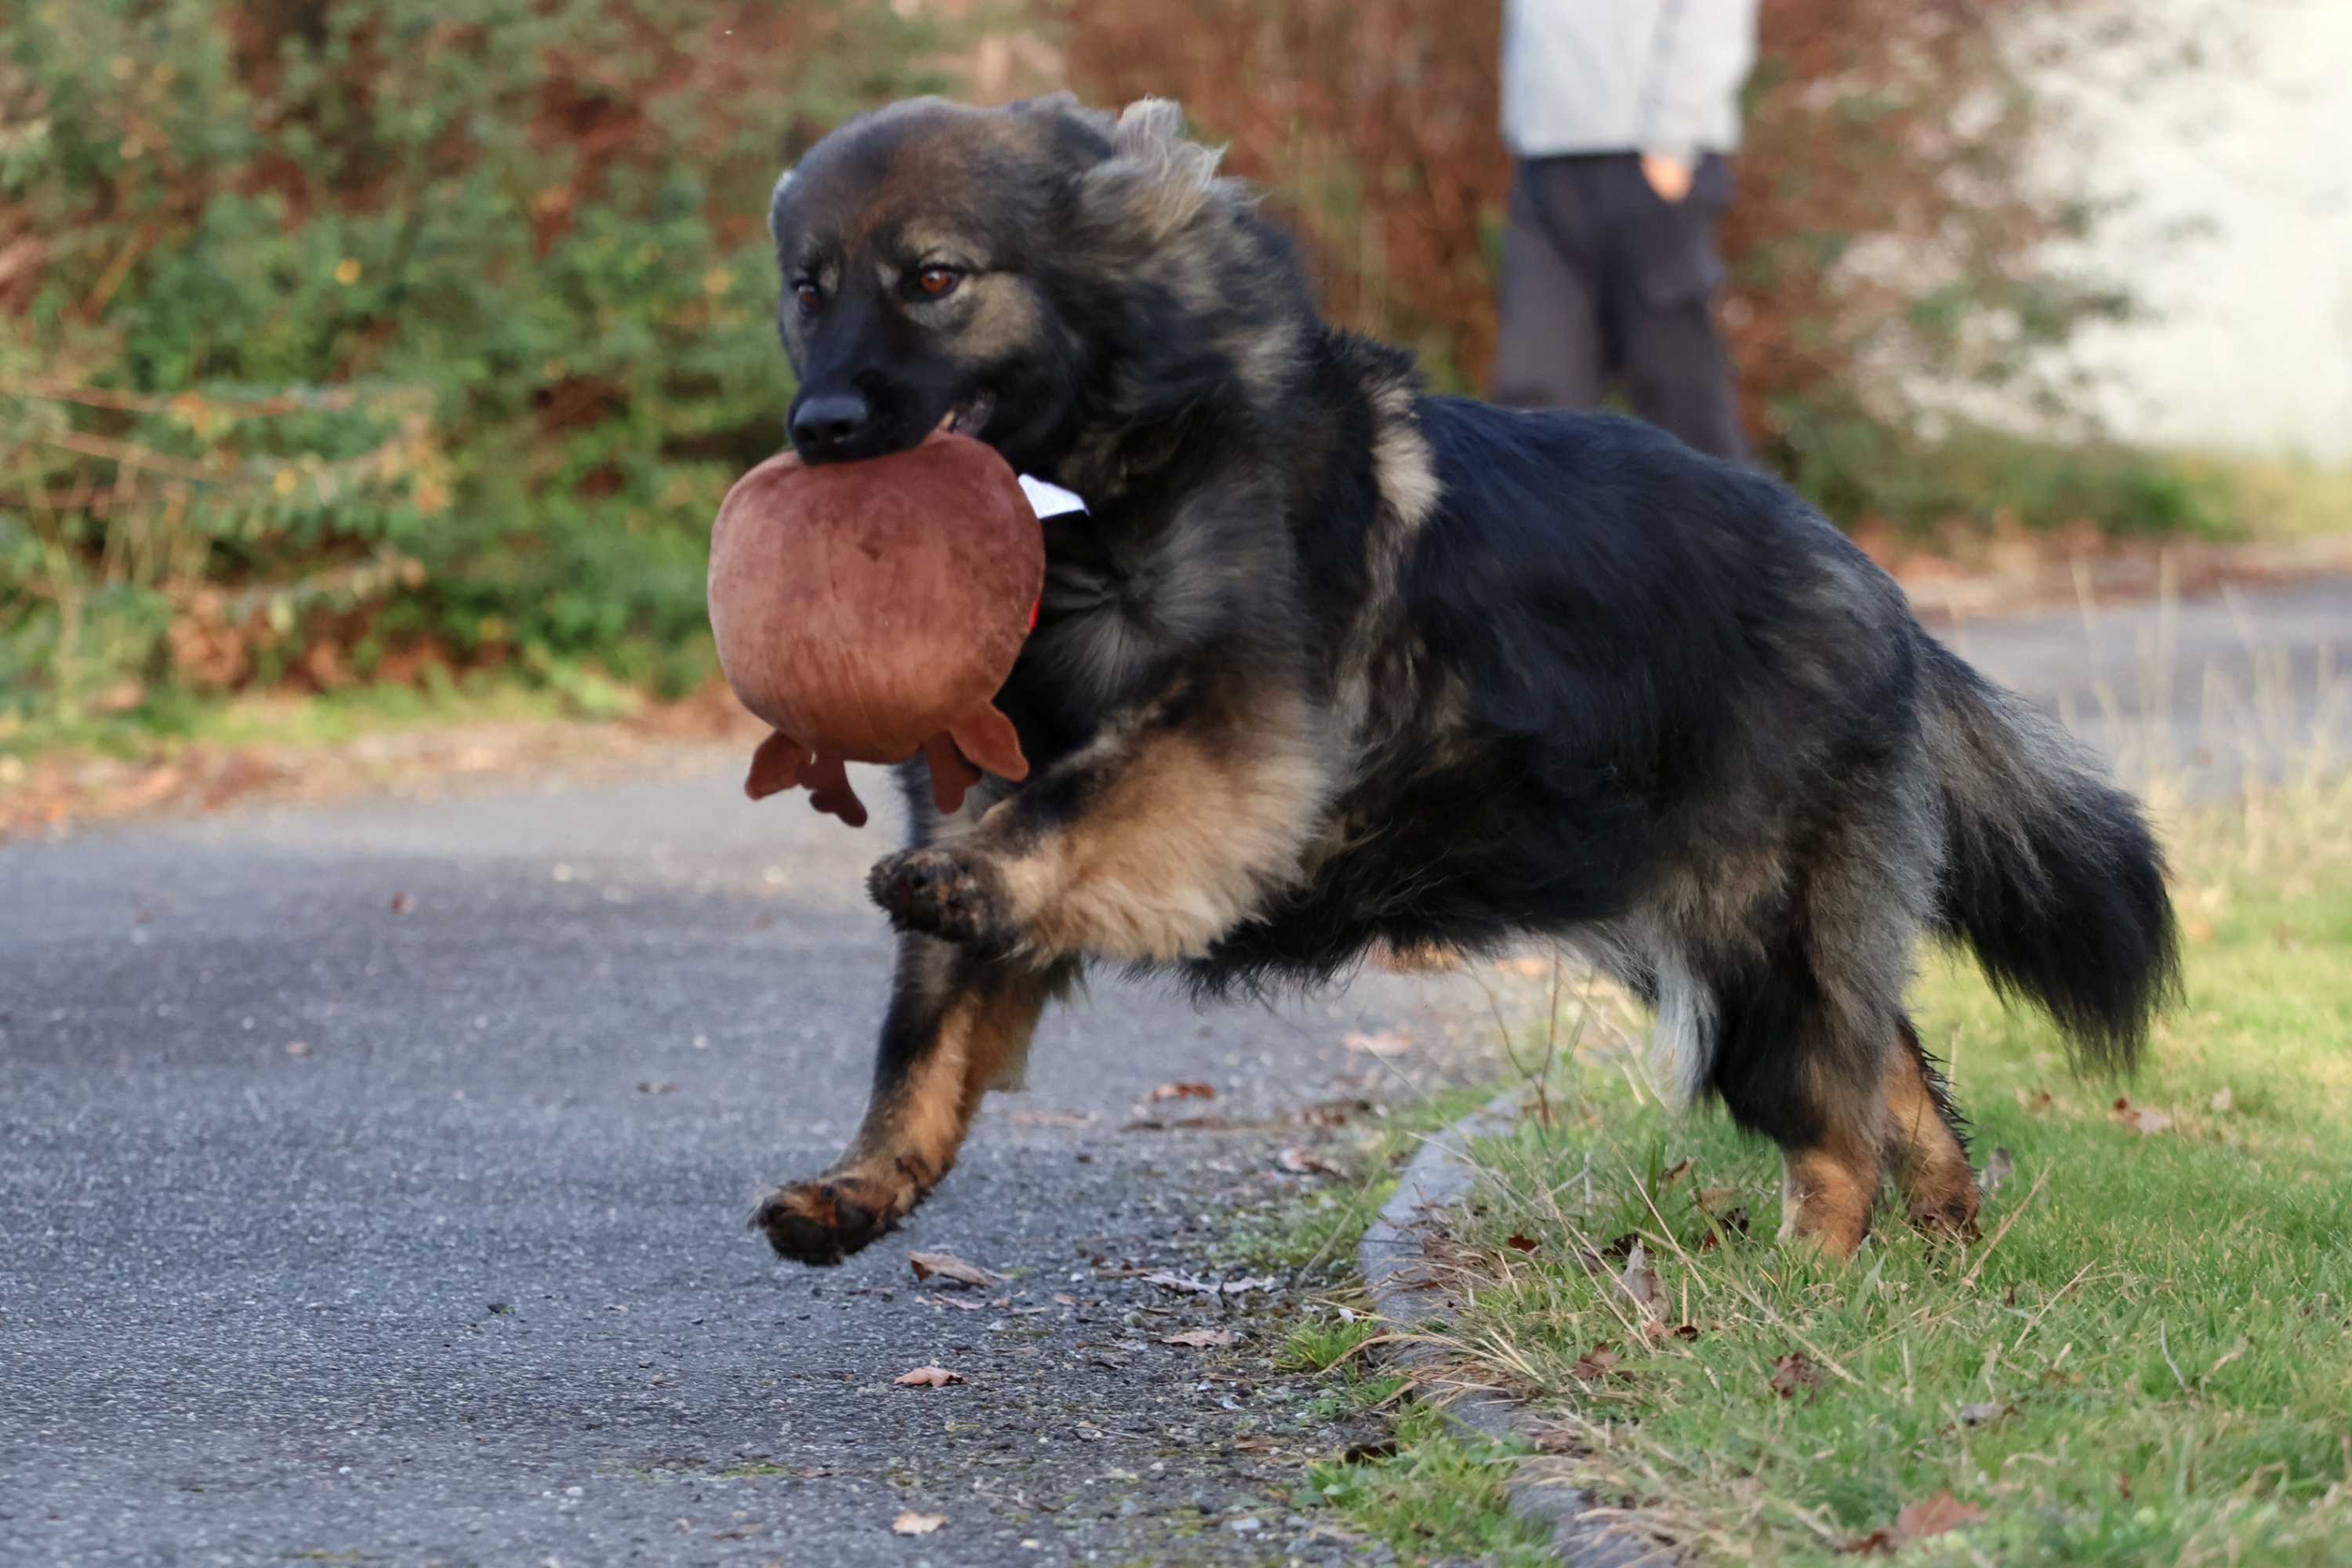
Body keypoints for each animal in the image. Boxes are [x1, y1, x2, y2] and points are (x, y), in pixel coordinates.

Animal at [748, 95, 2178, 1266]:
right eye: (809, 291)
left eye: (935, 278)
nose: (819, 431)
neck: (1101, 488)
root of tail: (1872, 584)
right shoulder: (983, 787)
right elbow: (922, 1033)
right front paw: (861, 1184)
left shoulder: (1230, 743)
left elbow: (1079, 805)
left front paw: (966, 885)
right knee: (1890, 1070)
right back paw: (1941, 1242)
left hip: (1752, 936)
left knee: (1836, 1117)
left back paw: (1808, 1284)